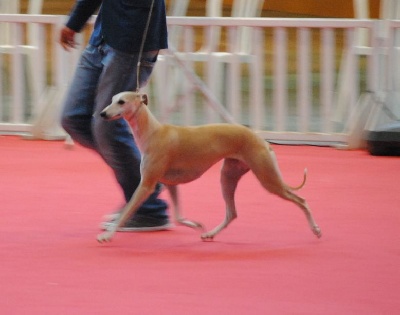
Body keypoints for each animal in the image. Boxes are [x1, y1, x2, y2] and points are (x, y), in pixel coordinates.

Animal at [97, 91, 322, 244]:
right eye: (111, 99)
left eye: (121, 101)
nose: (102, 113)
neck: (153, 132)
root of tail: (261, 139)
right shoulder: (170, 183)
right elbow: (178, 216)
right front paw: (195, 224)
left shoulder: (147, 184)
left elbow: (126, 211)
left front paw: (107, 235)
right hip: (228, 176)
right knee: (232, 213)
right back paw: (210, 233)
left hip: (267, 178)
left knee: (300, 200)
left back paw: (316, 230)